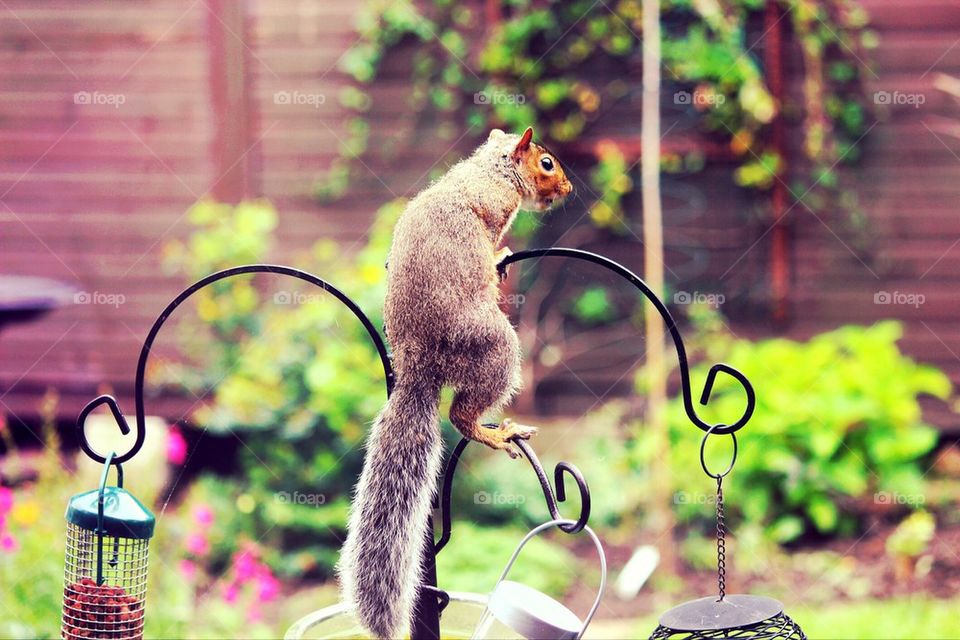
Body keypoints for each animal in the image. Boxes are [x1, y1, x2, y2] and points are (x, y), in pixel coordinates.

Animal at [337, 127, 573, 638]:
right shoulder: (495, 207)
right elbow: (493, 237)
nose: (567, 189)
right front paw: (500, 255)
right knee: (460, 414)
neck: (490, 167)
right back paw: (493, 431)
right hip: (493, 348)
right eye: (546, 163)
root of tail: (418, 370)